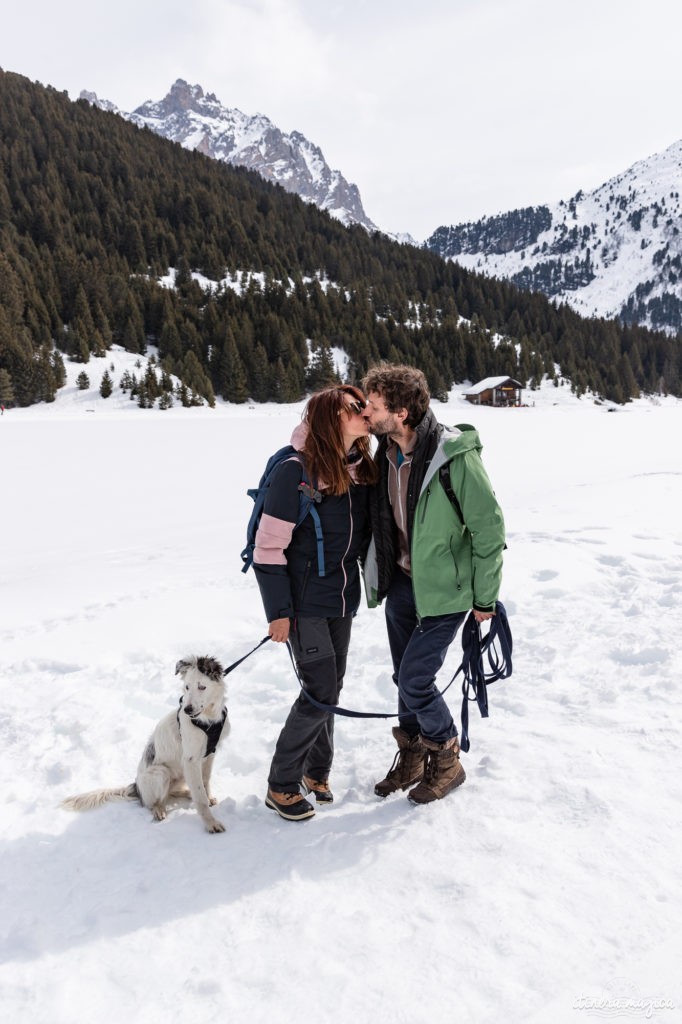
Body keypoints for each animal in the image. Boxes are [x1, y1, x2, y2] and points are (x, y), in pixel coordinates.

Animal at [59, 655, 228, 831]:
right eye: (187, 687)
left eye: (202, 687)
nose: (187, 710)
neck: (208, 718)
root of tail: (137, 787)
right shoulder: (191, 760)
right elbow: (200, 797)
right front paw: (211, 823)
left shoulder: (209, 755)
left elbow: (205, 782)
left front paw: (208, 799)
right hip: (161, 772)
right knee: (153, 802)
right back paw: (159, 809)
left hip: (180, 775)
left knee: (173, 792)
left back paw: (187, 793)